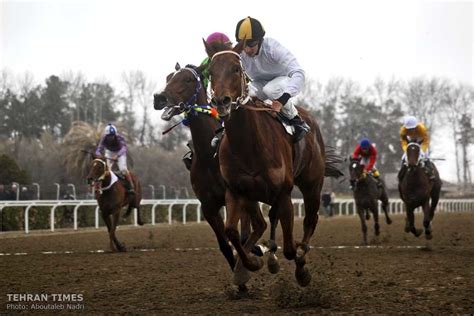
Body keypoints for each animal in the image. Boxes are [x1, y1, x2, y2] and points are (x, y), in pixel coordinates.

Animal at [153, 62, 266, 286]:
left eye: (188, 79)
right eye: (168, 77)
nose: (159, 97)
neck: (209, 153)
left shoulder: (235, 196)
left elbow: (240, 235)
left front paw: (248, 263)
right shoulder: (208, 206)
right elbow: (224, 244)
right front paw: (240, 279)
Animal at [206, 40, 342, 288]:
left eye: (236, 69)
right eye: (210, 72)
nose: (221, 102)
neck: (248, 145)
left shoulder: (283, 193)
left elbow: (289, 249)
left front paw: (300, 267)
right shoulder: (236, 191)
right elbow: (231, 232)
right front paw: (249, 266)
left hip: (312, 184)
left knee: (310, 219)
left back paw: (299, 255)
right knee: (269, 220)